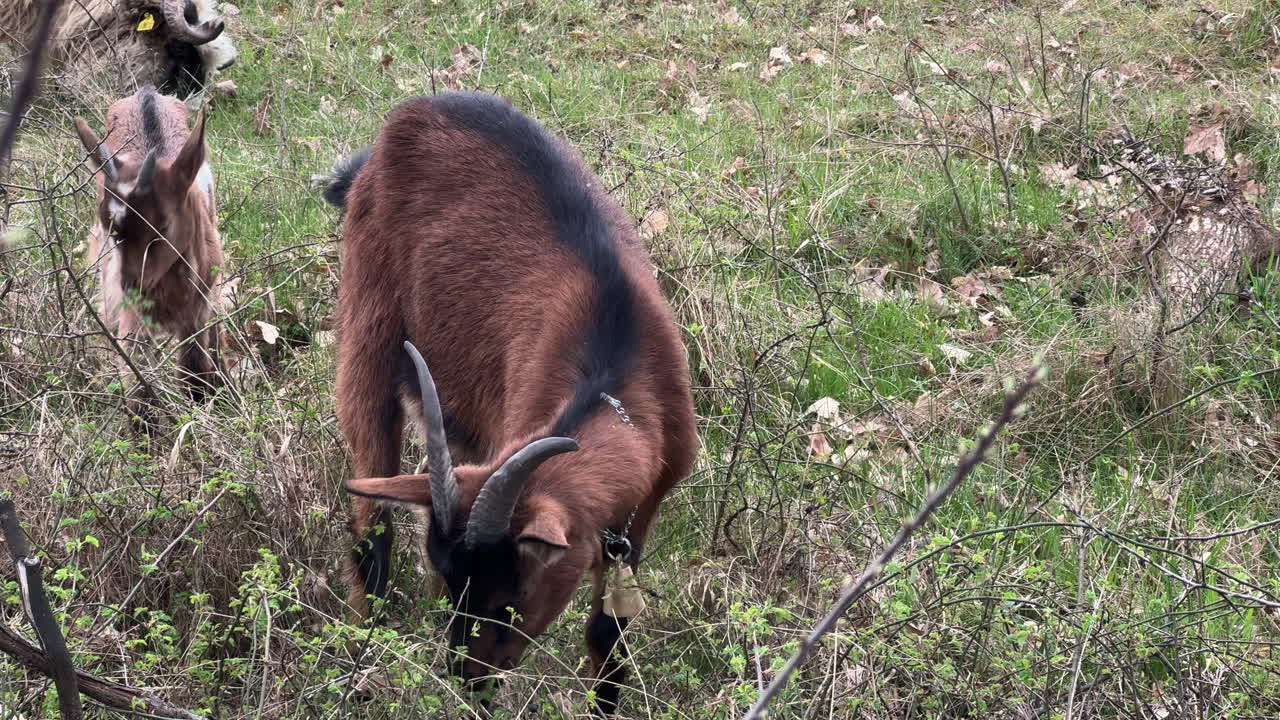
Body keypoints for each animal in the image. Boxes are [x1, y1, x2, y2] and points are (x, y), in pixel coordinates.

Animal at [74, 87, 225, 407]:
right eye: (110, 228)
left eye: (164, 225)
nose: (131, 284)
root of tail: (147, 93)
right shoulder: (131, 312)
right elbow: (135, 377)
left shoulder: (198, 310)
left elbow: (194, 372)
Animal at [319, 91, 697, 715]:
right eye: (456, 589)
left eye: (508, 601)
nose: (466, 677)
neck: (612, 366)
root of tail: (409, 116)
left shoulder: (640, 512)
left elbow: (607, 632)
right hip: (368, 325)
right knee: (370, 520)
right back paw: (361, 656)